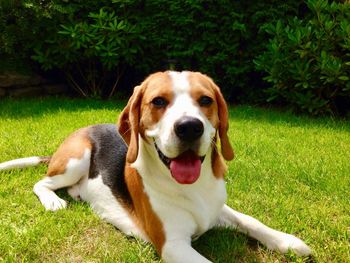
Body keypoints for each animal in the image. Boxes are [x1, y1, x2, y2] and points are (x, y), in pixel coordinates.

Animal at [0, 71, 312, 262]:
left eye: (206, 100)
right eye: (158, 101)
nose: (189, 127)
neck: (193, 188)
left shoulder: (216, 210)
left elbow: (251, 221)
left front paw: (288, 241)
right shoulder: (173, 245)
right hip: (76, 159)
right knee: (41, 183)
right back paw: (53, 201)